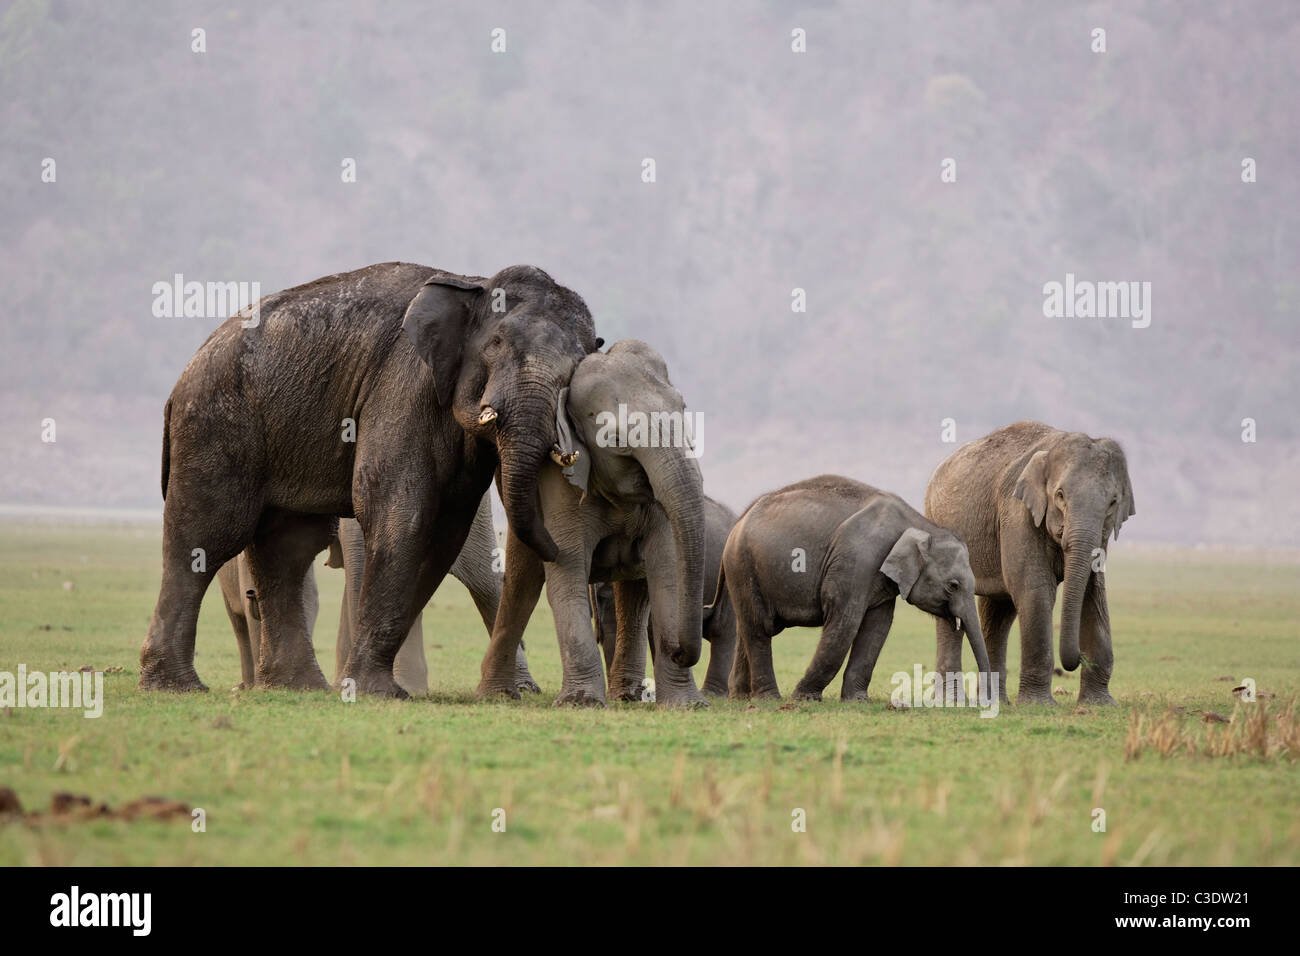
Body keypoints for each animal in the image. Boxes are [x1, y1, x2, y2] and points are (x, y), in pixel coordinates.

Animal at [138, 260, 598, 697]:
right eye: (496, 345)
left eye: (577, 367)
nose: (555, 548)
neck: (477, 284)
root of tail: (182, 378)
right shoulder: (403, 386)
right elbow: (400, 512)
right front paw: (378, 691)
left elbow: (443, 532)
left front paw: (369, 686)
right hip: (214, 421)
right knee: (207, 535)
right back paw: (175, 686)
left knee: (286, 548)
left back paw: (297, 687)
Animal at [478, 340, 707, 707]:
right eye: (615, 440)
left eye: (684, 411)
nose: (677, 651)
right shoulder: (559, 482)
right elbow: (567, 573)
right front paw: (580, 703)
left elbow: (668, 573)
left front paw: (688, 706)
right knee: (521, 584)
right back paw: (496, 694)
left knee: (636, 594)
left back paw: (627, 695)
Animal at [717, 476, 987, 702]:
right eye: (953, 586)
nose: (982, 701)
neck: (919, 523)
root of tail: (739, 520)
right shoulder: (857, 561)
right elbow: (846, 621)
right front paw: (804, 698)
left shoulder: (882, 579)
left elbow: (877, 626)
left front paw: (858, 701)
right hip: (743, 566)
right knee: (759, 627)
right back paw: (769, 699)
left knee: (748, 626)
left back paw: (742, 698)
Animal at [925, 418, 1138, 702]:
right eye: (1060, 495)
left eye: (1113, 502)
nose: (1076, 660)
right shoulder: (1017, 512)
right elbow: (1034, 589)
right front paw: (1040, 704)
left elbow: (1094, 590)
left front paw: (1100, 704)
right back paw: (953, 702)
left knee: (998, 610)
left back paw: (995, 702)